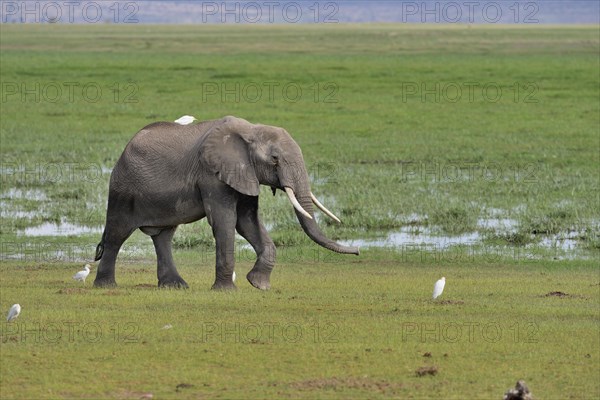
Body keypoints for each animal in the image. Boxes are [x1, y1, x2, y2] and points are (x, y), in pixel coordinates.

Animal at [92, 116, 356, 290]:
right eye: (274, 159)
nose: (357, 251)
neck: (251, 130)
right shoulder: (212, 174)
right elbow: (225, 221)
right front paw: (225, 290)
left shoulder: (245, 173)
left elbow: (247, 222)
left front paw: (258, 285)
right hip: (123, 189)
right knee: (117, 234)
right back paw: (106, 286)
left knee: (163, 236)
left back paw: (176, 286)